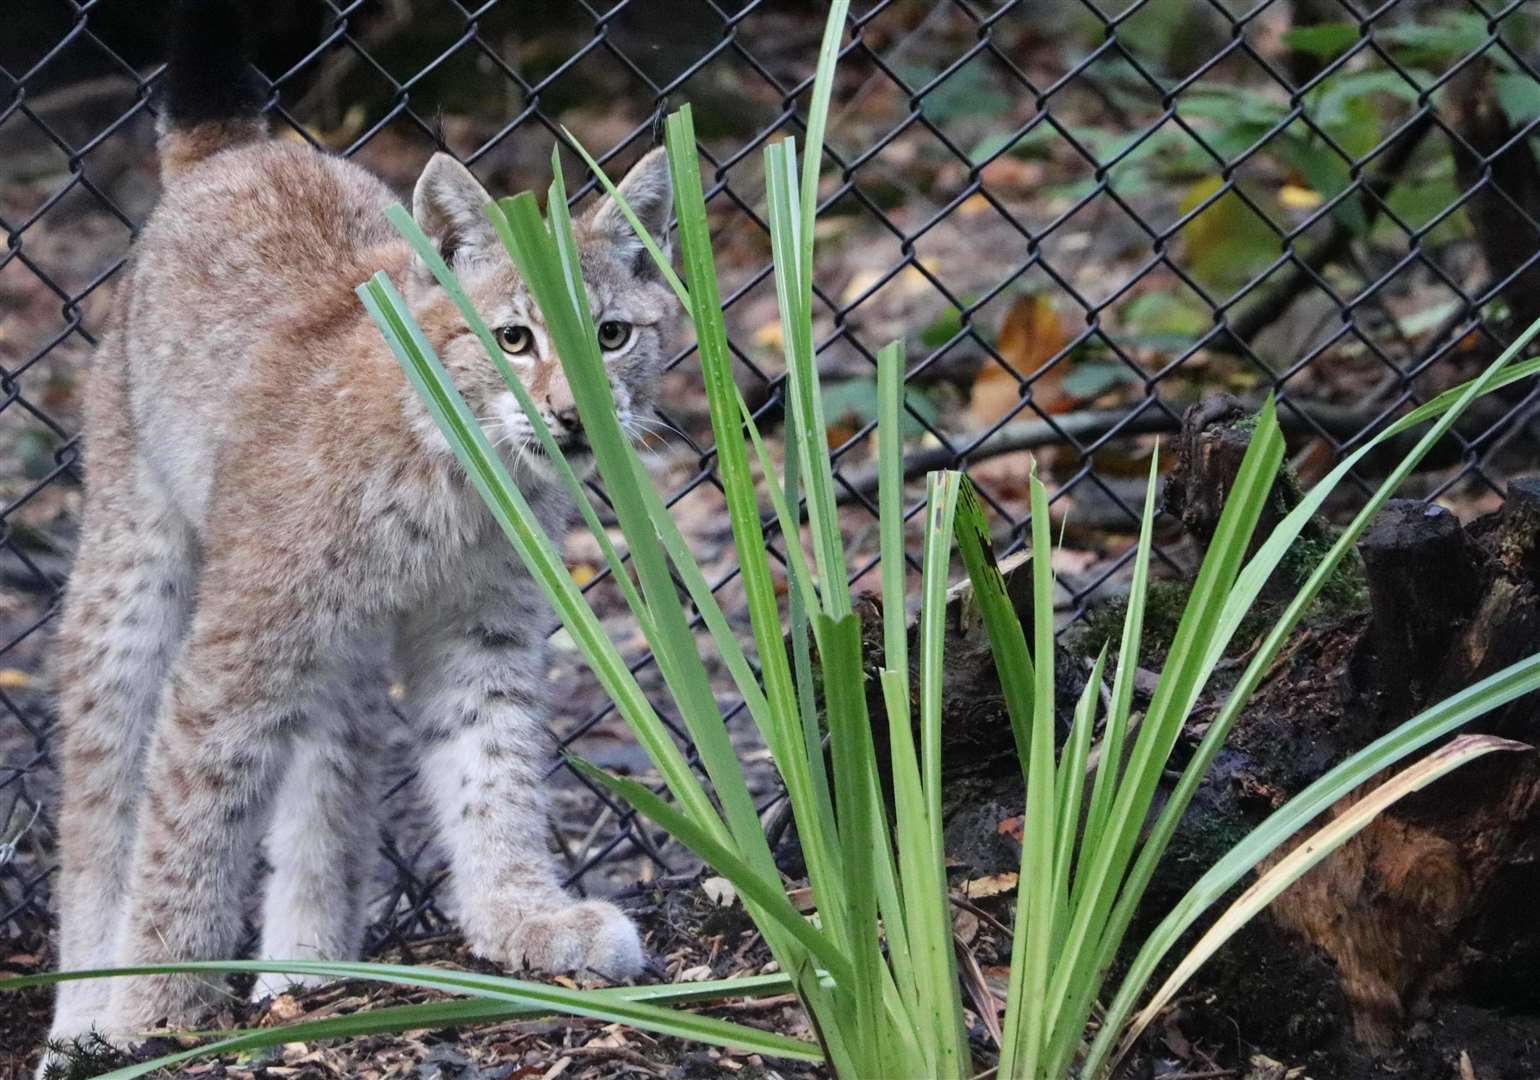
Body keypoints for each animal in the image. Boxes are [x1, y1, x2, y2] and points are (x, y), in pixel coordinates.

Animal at [45, 0, 674, 1047]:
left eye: (613, 336)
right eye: (513, 339)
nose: (574, 417)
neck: (463, 472)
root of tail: (240, 153)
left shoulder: (479, 622)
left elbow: (493, 765)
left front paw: (523, 918)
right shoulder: (235, 648)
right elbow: (190, 820)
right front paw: (152, 1009)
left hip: (336, 643)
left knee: (328, 776)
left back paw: (303, 967)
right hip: (137, 559)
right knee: (102, 783)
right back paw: (87, 1004)